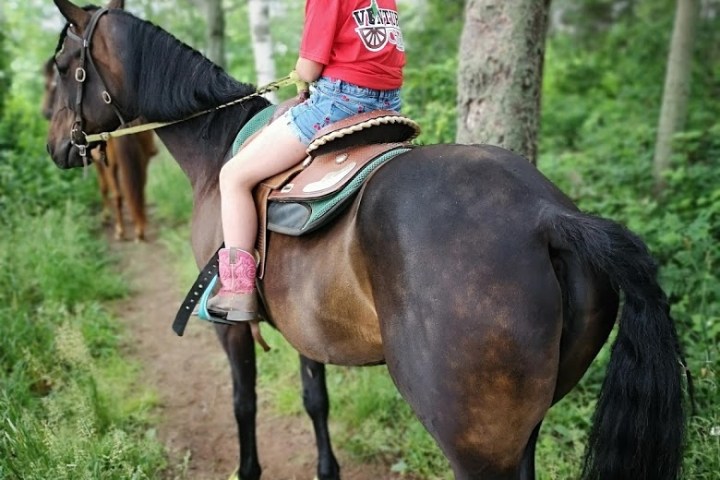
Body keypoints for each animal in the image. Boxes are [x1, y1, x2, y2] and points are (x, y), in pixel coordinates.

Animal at [42, 55, 157, 241]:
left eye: (48, 86)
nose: (44, 111)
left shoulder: (98, 162)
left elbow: (104, 188)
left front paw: (106, 216)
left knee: (118, 193)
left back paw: (121, 230)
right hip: (144, 155)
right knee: (139, 186)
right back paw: (140, 225)